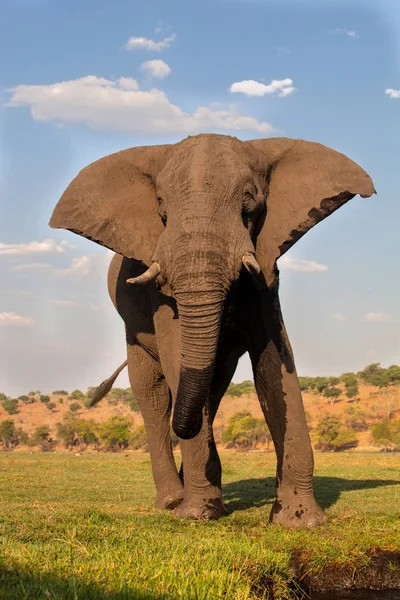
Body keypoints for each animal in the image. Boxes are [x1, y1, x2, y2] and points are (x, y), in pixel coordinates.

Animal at [50, 134, 376, 528]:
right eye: (161, 205)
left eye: (250, 198)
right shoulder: (159, 291)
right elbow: (177, 358)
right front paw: (198, 514)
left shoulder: (265, 272)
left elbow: (275, 364)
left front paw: (299, 520)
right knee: (153, 393)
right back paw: (173, 499)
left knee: (212, 388)